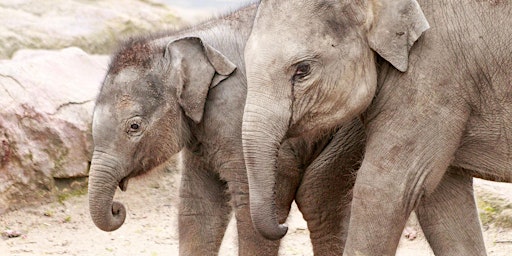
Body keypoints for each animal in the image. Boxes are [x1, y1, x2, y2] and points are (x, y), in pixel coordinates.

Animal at [89, 3, 368, 254]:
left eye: (134, 126)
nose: (117, 209)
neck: (177, 40)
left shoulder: (236, 113)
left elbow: (253, 203)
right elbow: (198, 204)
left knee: (317, 197)